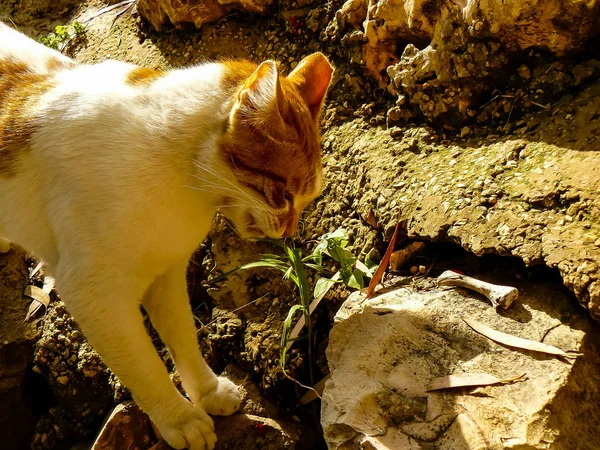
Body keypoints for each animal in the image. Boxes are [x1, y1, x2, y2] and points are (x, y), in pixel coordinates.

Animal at [0, 22, 332, 450]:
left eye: (307, 199)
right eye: (284, 194)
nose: (288, 232)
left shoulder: (168, 273)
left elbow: (185, 340)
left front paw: (208, 393)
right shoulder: (94, 297)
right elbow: (146, 367)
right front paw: (181, 419)